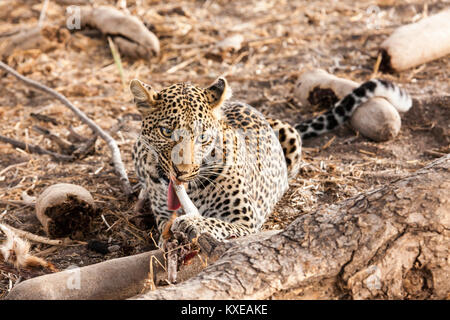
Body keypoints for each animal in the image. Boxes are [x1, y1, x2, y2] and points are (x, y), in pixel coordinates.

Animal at [129, 77, 412, 242]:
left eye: (202, 137)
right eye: (166, 132)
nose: (182, 172)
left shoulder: (245, 220)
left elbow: (216, 223)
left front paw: (193, 222)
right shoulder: (164, 215)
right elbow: (166, 230)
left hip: (290, 135)